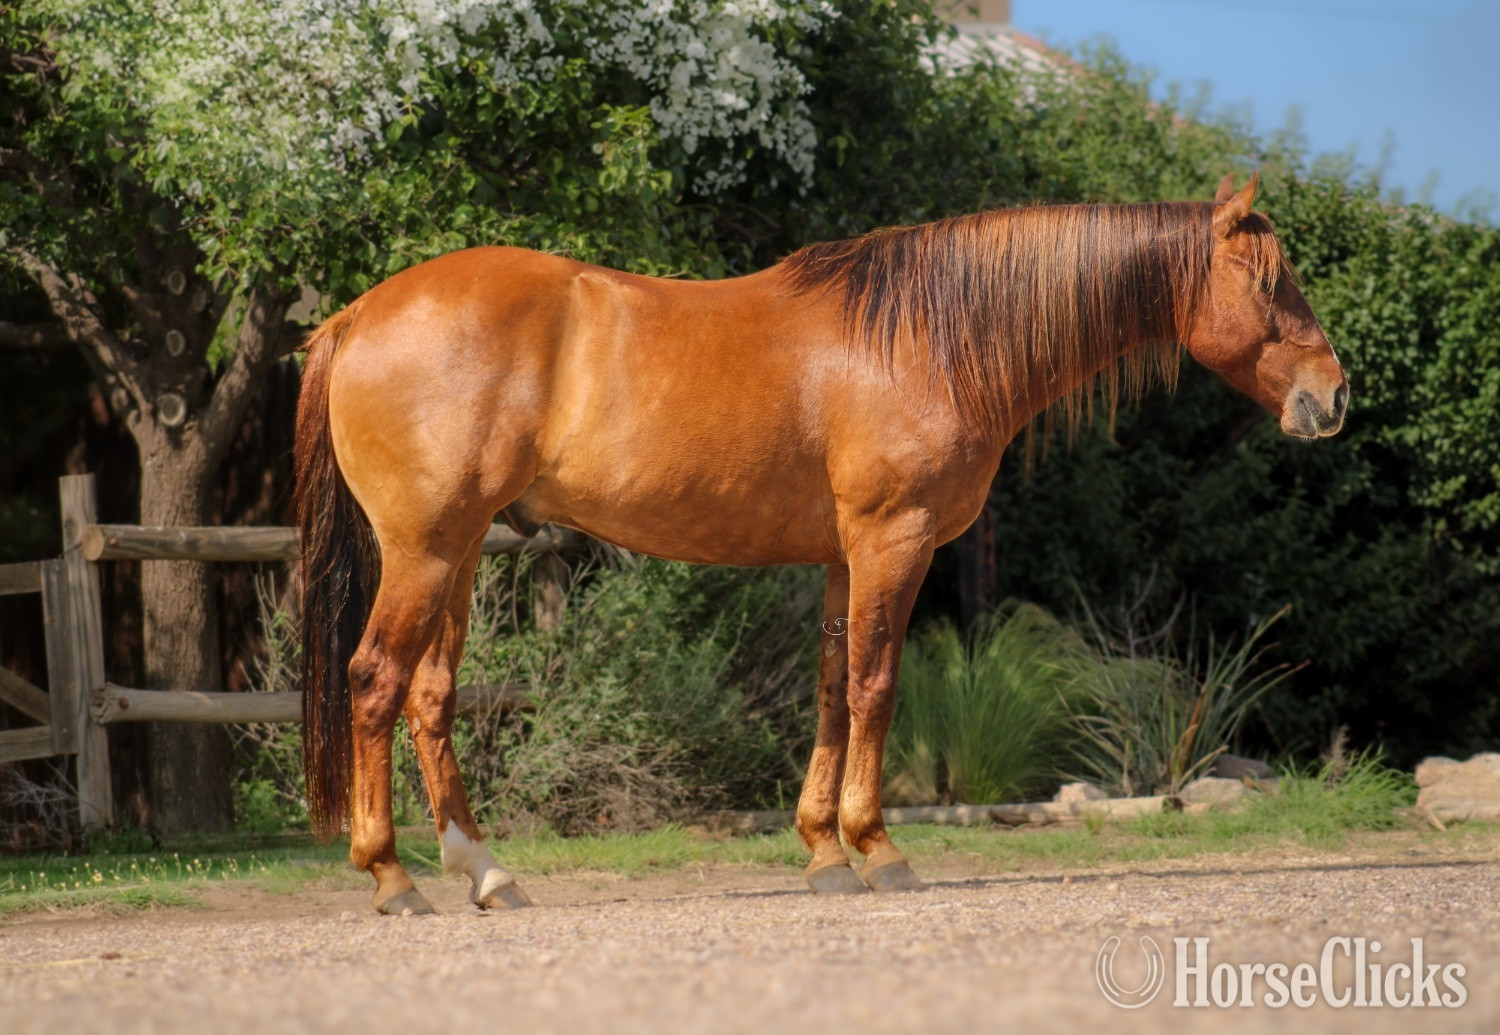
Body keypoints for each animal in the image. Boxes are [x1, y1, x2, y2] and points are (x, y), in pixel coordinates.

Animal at [294, 173, 1347, 914]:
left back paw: (487, 872)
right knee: (376, 682)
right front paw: (880, 849)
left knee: (431, 696)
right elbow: (879, 685)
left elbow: (835, 690)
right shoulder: (895, 542)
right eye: (1269, 281)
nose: (1331, 398)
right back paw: (392, 877)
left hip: (462, 551)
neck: (929, 338)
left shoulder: (846, 559)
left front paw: (824, 852)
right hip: (426, 549)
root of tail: (357, 314)